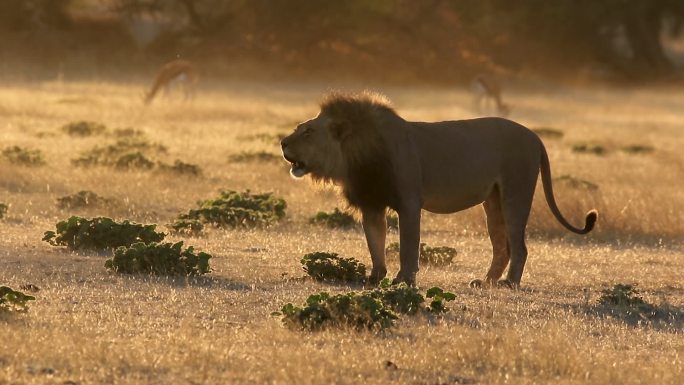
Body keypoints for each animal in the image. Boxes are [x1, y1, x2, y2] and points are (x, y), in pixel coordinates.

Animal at [280, 91, 596, 286]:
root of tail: (535, 136)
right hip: (493, 201)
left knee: (519, 246)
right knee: (501, 245)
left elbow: (408, 246)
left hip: (515, 194)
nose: (282, 142)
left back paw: (509, 283)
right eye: (298, 128)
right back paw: (486, 282)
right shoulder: (371, 204)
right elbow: (375, 244)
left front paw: (404, 281)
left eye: (307, 132)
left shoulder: (409, 202)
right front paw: (374, 279)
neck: (354, 158)